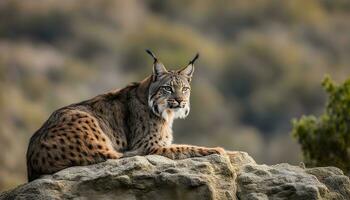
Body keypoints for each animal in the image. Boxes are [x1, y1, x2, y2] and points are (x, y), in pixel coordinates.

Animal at [26, 49, 226, 181]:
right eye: (168, 88)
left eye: (185, 89)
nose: (180, 101)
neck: (164, 112)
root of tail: (31, 162)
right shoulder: (148, 147)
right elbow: (185, 147)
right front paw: (218, 150)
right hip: (85, 120)